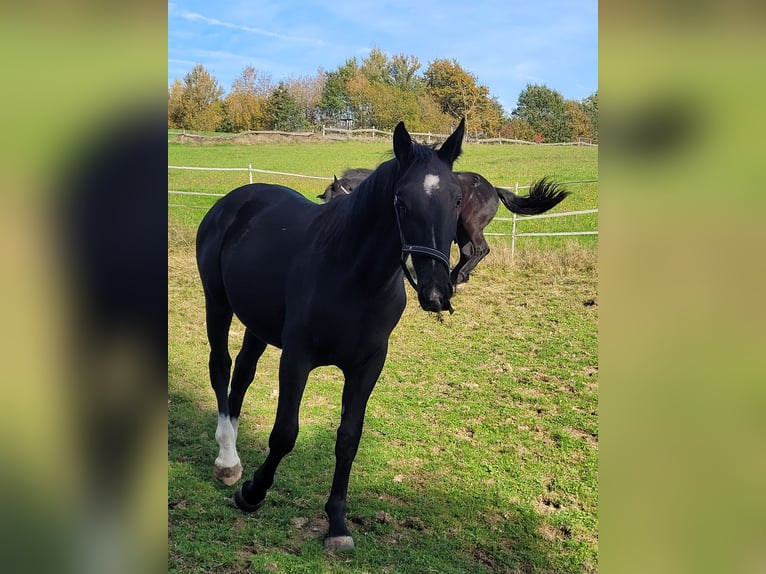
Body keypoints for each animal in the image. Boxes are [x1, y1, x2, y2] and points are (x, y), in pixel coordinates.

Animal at [195, 119, 464, 552]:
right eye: (401, 201)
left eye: (456, 199)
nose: (437, 293)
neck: (353, 275)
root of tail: (233, 201)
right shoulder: (297, 358)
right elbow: (285, 433)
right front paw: (252, 492)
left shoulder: (368, 365)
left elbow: (348, 438)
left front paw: (337, 523)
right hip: (217, 303)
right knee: (220, 367)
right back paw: (228, 462)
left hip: (258, 325)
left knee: (243, 375)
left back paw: (232, 444)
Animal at [320, 169, 568, 286]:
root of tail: (492, 188)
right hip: (461, 229)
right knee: (468, 252)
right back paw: (456, 276)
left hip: (471, 226)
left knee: (481, 250)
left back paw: (459, 277)